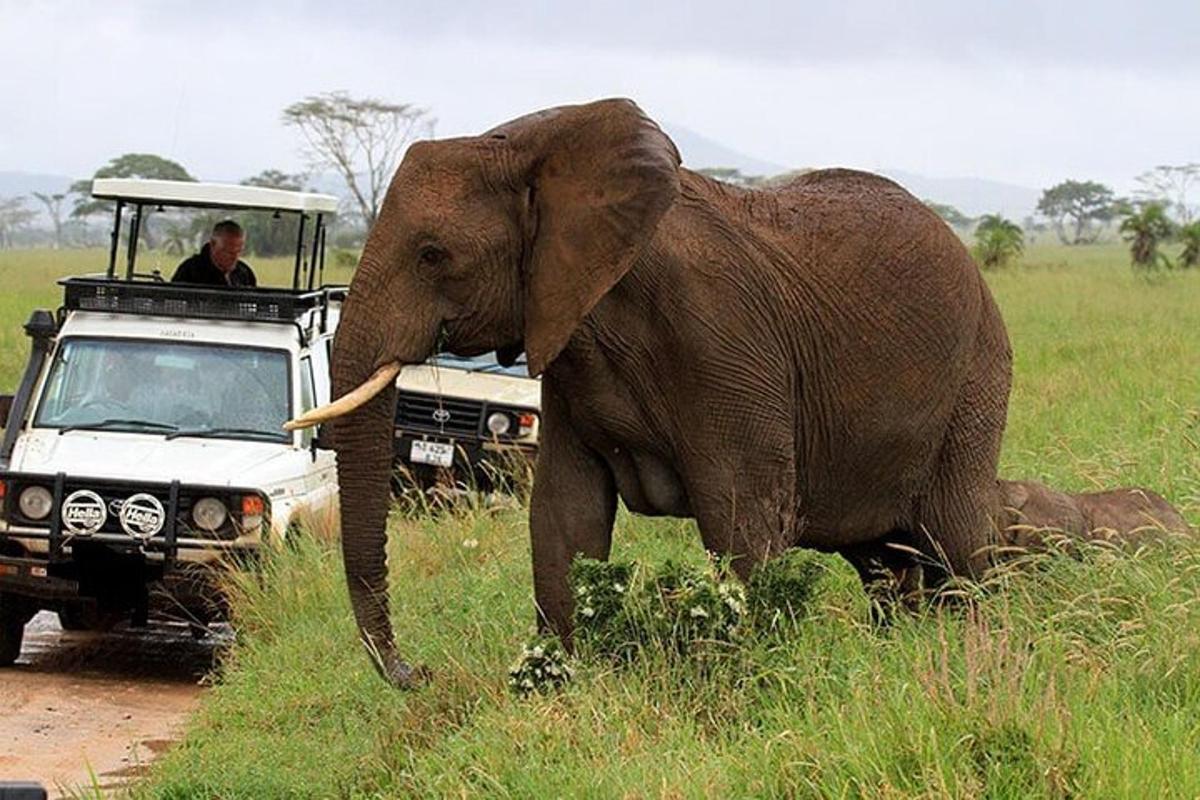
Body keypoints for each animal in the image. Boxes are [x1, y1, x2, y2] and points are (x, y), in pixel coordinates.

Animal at [290, 98, 1012, 690]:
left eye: (433, 254)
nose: (417, 673)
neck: (536, 152)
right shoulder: (568, 341)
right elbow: (565, 514)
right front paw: (554, 682)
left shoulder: (724, 339)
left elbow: (743, 521)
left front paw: (746, 680)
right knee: (885, 565)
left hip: (978, 375)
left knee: (954, 545)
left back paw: (970, 657)